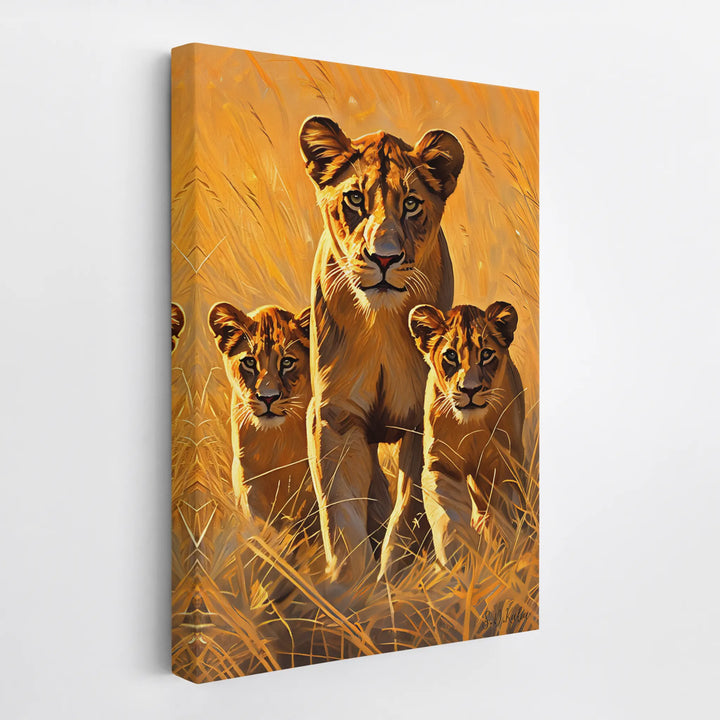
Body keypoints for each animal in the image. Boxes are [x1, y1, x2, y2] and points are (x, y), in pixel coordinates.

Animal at [299, 115, 464, 580]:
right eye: (355, 198)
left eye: (411, 204)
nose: (384, 257)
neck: (381, 325)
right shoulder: (334, 416)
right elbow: (342, 511)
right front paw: (351, 586)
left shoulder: (421, 422)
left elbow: (410, 511)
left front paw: (394, 579)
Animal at [408, 301, 526, 566]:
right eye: (451, 355)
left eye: (486, 354)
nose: (470, 390)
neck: (471, 427)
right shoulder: (441, 465)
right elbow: (448, 518)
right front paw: (457, 561)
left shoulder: (501, 464)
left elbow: (503, 511)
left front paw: (506, 551)